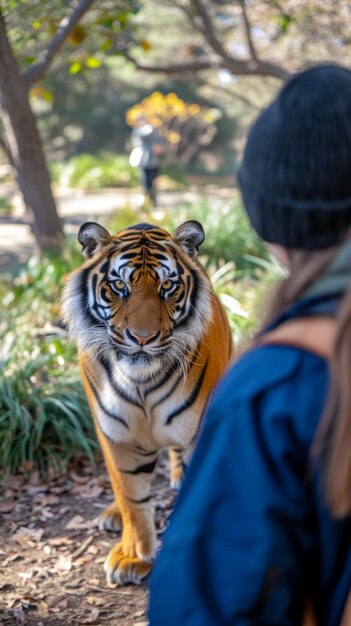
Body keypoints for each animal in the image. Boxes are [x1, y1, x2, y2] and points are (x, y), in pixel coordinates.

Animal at [62, 219, 235, 584]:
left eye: (168, 286)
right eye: (118, 286)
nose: (142, 338)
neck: (141, 380)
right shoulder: (116, 436)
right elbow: (131, 495)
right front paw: (133, 555)